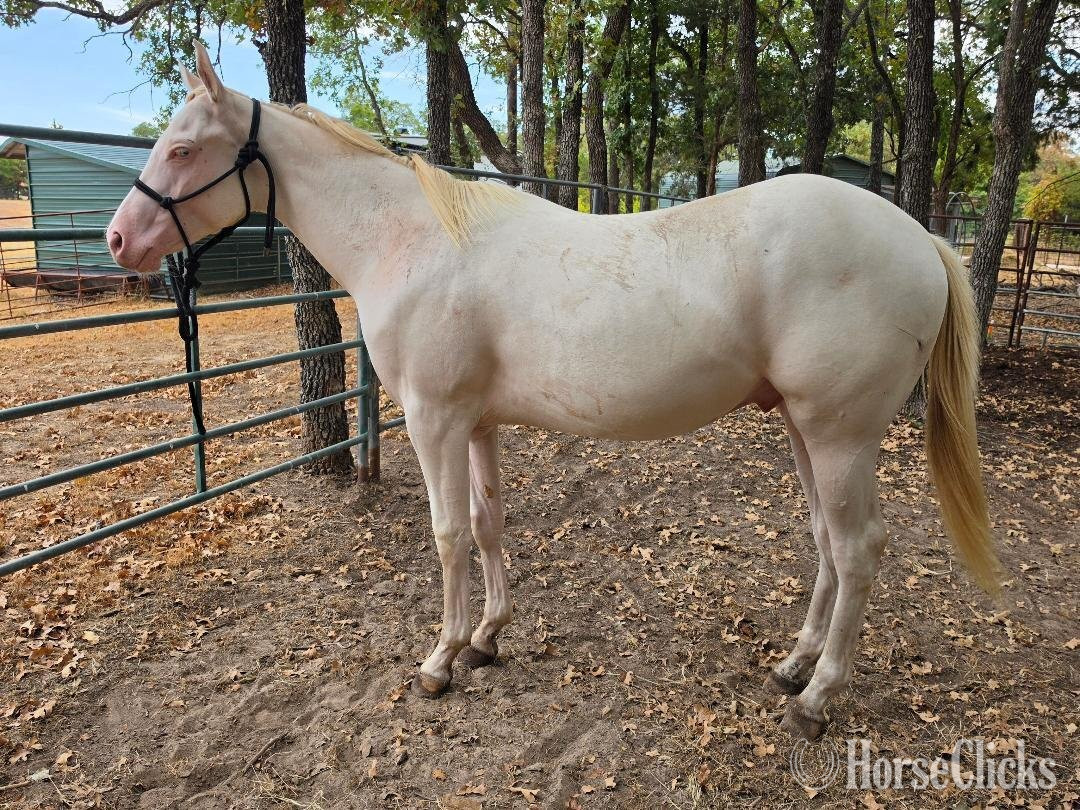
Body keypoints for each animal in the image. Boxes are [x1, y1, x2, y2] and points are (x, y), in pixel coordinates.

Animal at [107, 43, 1000, 741]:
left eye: (182, 150)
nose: (120, 239)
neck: (412, 241)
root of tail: (920, 238)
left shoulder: (432, 421)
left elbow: (448, 535)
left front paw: (440, 660)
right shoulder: (475, 424)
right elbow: (489, 523)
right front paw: (487, 639)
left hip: (841, 435)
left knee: (858, 550)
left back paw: (816, 699)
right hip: (804, 431)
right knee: (825, 543)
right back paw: (793, 664)